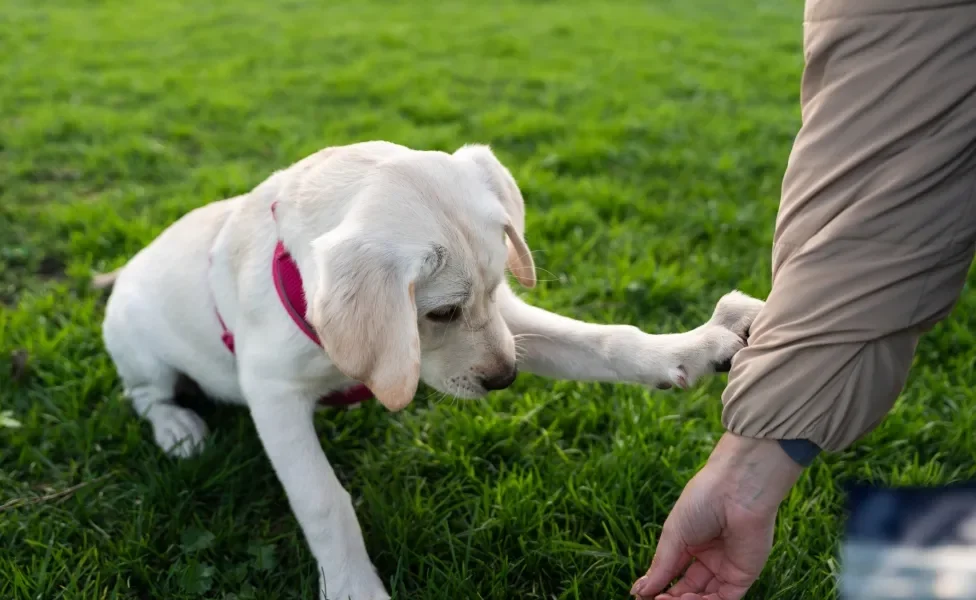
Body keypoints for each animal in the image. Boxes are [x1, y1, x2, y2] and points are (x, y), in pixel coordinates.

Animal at [93, 142, 764, 600]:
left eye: (493, 289)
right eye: (439, 312)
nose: (506, 379)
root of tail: (124, 272)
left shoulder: (510, 320)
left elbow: (602, 341)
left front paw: (690, 349)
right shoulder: (273, 393)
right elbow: (323, 499)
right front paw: (354, 587)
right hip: (138, 349)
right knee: (146, 395)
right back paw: (178, 429)